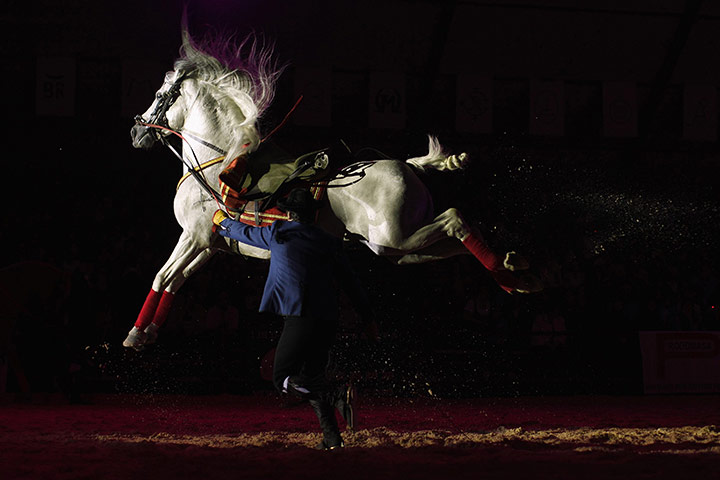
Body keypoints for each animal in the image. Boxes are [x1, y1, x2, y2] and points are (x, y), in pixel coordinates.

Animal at [123, 29, 541, 350]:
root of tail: (406, 165)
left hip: (396, 236)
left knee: (455, 219)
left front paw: (136, 333)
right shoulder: (210, 244)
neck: (219, 157)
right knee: (456, 243)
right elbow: (175, 281)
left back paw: (511, 271)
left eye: (160, 96)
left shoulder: (194, 236)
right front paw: (149, 332)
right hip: (396, 249)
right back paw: (512, 274)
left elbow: (162, 276)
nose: (136, 131)